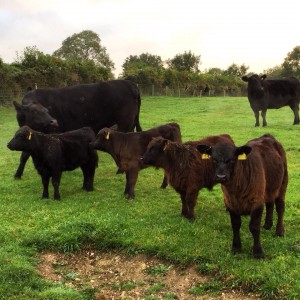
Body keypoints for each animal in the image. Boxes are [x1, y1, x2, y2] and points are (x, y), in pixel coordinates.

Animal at [12, 79, 142, 178]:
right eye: (34, 112)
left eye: (47, 110)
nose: (54, 121)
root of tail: (128, 82)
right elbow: (24, 155)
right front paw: (18, 174)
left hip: (124, 125)